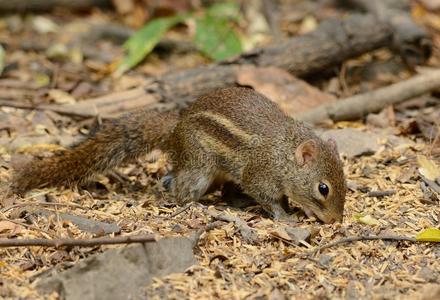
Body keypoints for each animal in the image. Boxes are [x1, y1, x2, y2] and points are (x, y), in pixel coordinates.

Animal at [11, 86, 348, 223]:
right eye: (323, 188)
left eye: (345, 183)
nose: (335, 221)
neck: (283, 152)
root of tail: (175, 129)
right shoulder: (259, 173)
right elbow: (268, 197)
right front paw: (286, 216)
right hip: (199, 168)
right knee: (179, 189)